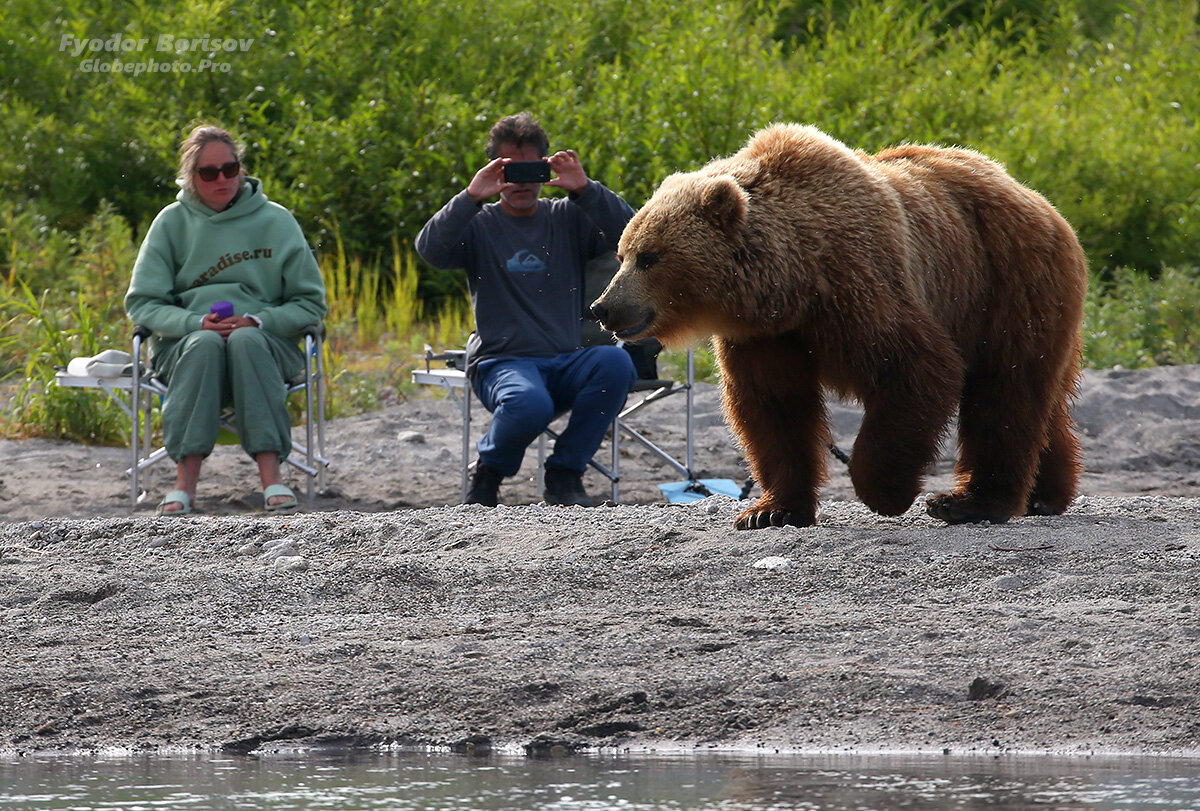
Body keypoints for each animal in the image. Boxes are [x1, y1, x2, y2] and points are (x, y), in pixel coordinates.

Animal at [590, 120, 1089, 525]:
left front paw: (884, 491)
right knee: (1037, 399)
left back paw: (969, 502)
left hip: (1004, 283)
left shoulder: (859, 286)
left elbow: (916, 367)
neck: (791, 285)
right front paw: (770, 511)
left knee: (1004, 391)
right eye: (622, 252)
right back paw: (1044, 495)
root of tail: (1037, 199)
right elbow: (774, 407)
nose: (602, 307)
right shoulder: (766, 336)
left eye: (650, 257)